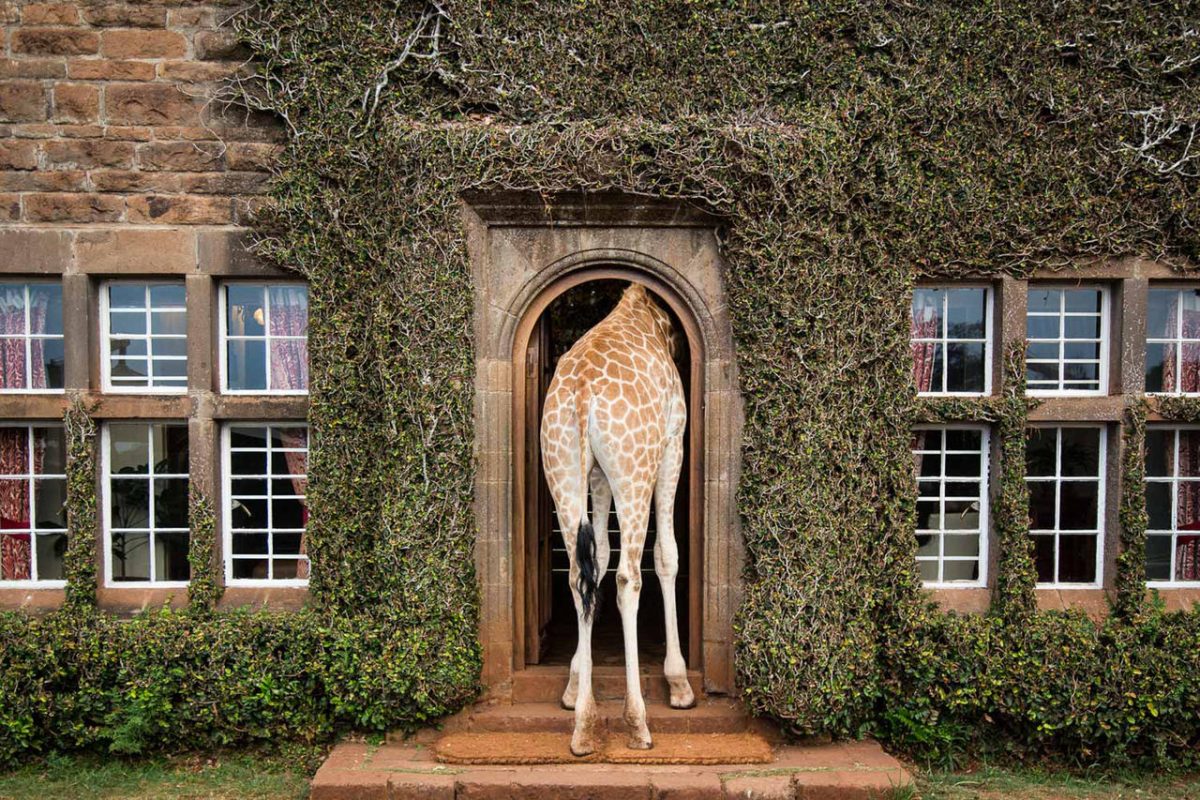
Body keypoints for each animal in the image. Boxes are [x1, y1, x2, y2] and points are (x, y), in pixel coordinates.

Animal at [540, 281, 695, 756]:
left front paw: (574, 683)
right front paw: (679, 683)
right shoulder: (673, 444)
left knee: (578, 574)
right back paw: (638, 721)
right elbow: (666, 556)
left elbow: (600, 556)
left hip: (562, 465)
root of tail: (583, 392)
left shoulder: (596, 474)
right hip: (636, 467)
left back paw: (584, 726)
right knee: (630, 575)